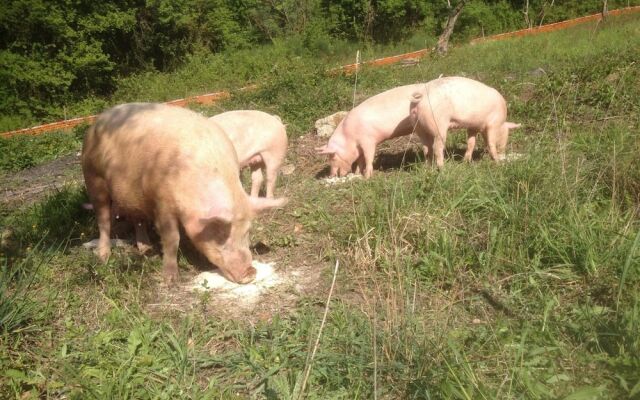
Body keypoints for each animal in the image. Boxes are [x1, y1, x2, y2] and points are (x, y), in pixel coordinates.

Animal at [82, 103, 288, 284]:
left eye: (247, 231)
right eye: (220, 234)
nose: (250, 272)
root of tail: (99, 119)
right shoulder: (162, 202)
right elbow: (172, 239)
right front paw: (171, 280)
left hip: (273, 155)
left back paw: (145, 249)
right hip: (93, 177)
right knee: (104, 220)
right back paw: (104, 257)